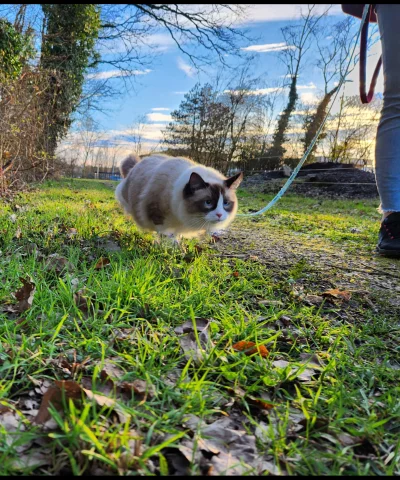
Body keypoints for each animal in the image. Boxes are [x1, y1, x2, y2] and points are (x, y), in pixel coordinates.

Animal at [114, 154, 242, 242]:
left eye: (226, 203)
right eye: (208, 202)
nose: (219, 214)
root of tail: (138, 163)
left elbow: (176, 235)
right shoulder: (156, 214)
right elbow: (165, 234)